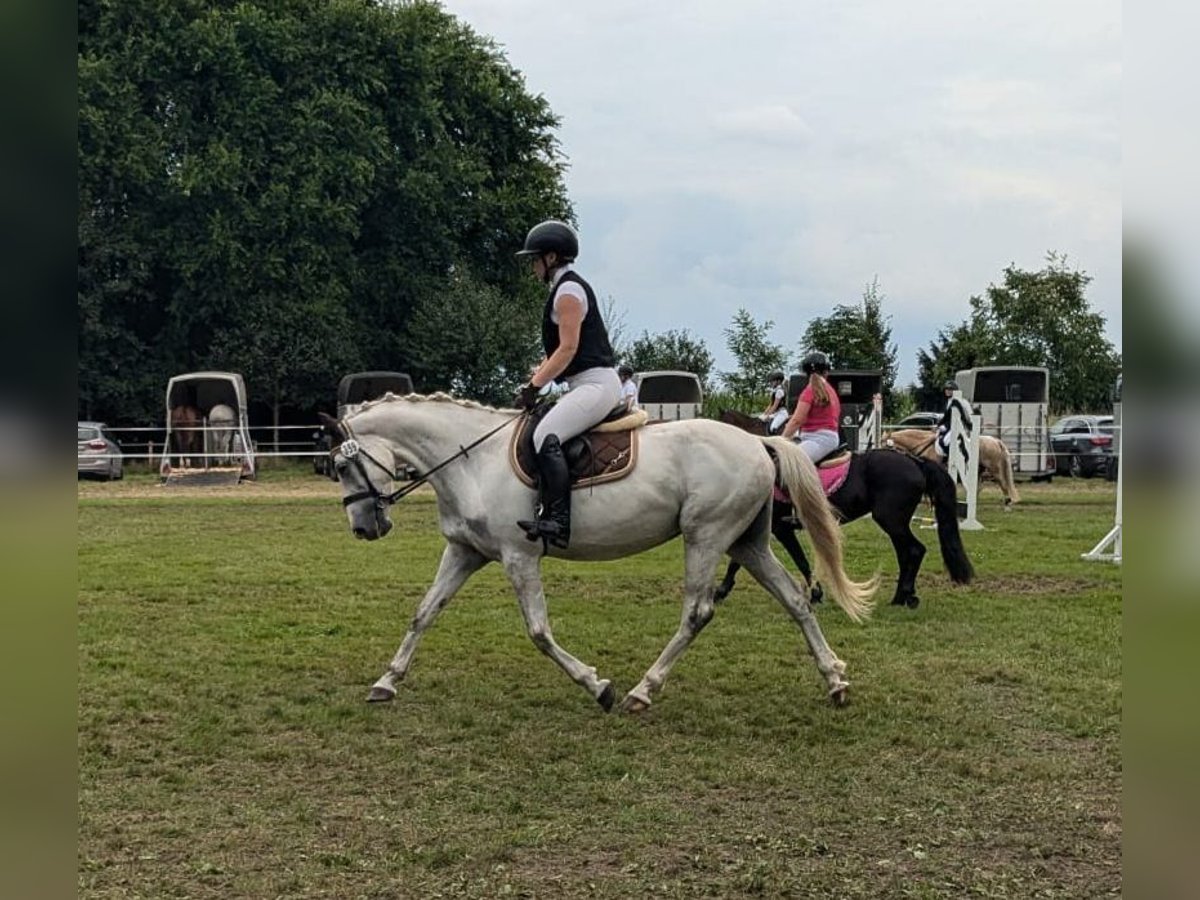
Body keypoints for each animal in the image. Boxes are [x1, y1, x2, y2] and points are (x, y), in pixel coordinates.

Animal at [324, 393, 878, 710]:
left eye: (344, 466)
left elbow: (539, 632)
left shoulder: (518, 557)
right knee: (796, 600)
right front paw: (387, 681)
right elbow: (423, 613)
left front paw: (598, 686)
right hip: (748, 542)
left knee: (697, 613)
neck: (471, 460)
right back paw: (834, 680)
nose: (363, 528)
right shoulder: (464, 552)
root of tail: (757, 443)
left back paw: (641, 691)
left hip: (707, 537)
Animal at [715, 410, 969, 614]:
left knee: (914, 551)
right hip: (896, 523)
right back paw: (902, 596)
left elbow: (798, 560)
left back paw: (904, 596)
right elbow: (747, 560)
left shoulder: (780, 527)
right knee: (906, 554)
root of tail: (915, 461)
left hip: (892, 521)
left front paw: (720, 591)